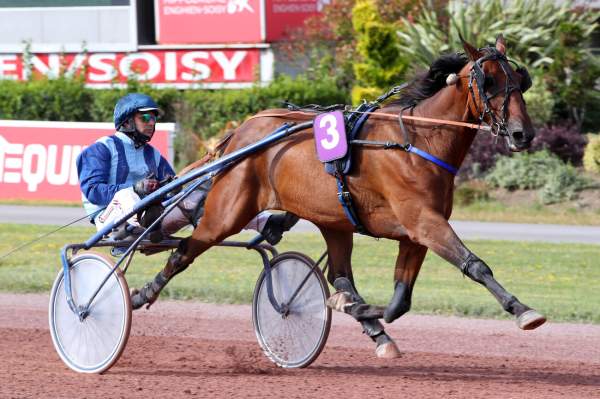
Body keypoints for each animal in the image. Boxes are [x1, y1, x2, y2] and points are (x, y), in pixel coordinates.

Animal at [134, 35, 548, 360]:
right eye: (489, 81)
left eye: (519, 80)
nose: (522, 133)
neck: (418, 141)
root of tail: (242, 132)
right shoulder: (424, 223)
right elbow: (475, 265)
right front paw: (522, 310)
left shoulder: (416, 234)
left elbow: (400, 300)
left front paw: (364, 312)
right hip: (227, 213)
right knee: (184, 250)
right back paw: (140, 294)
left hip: (333, 221)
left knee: (340, 277)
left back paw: (369, 324)